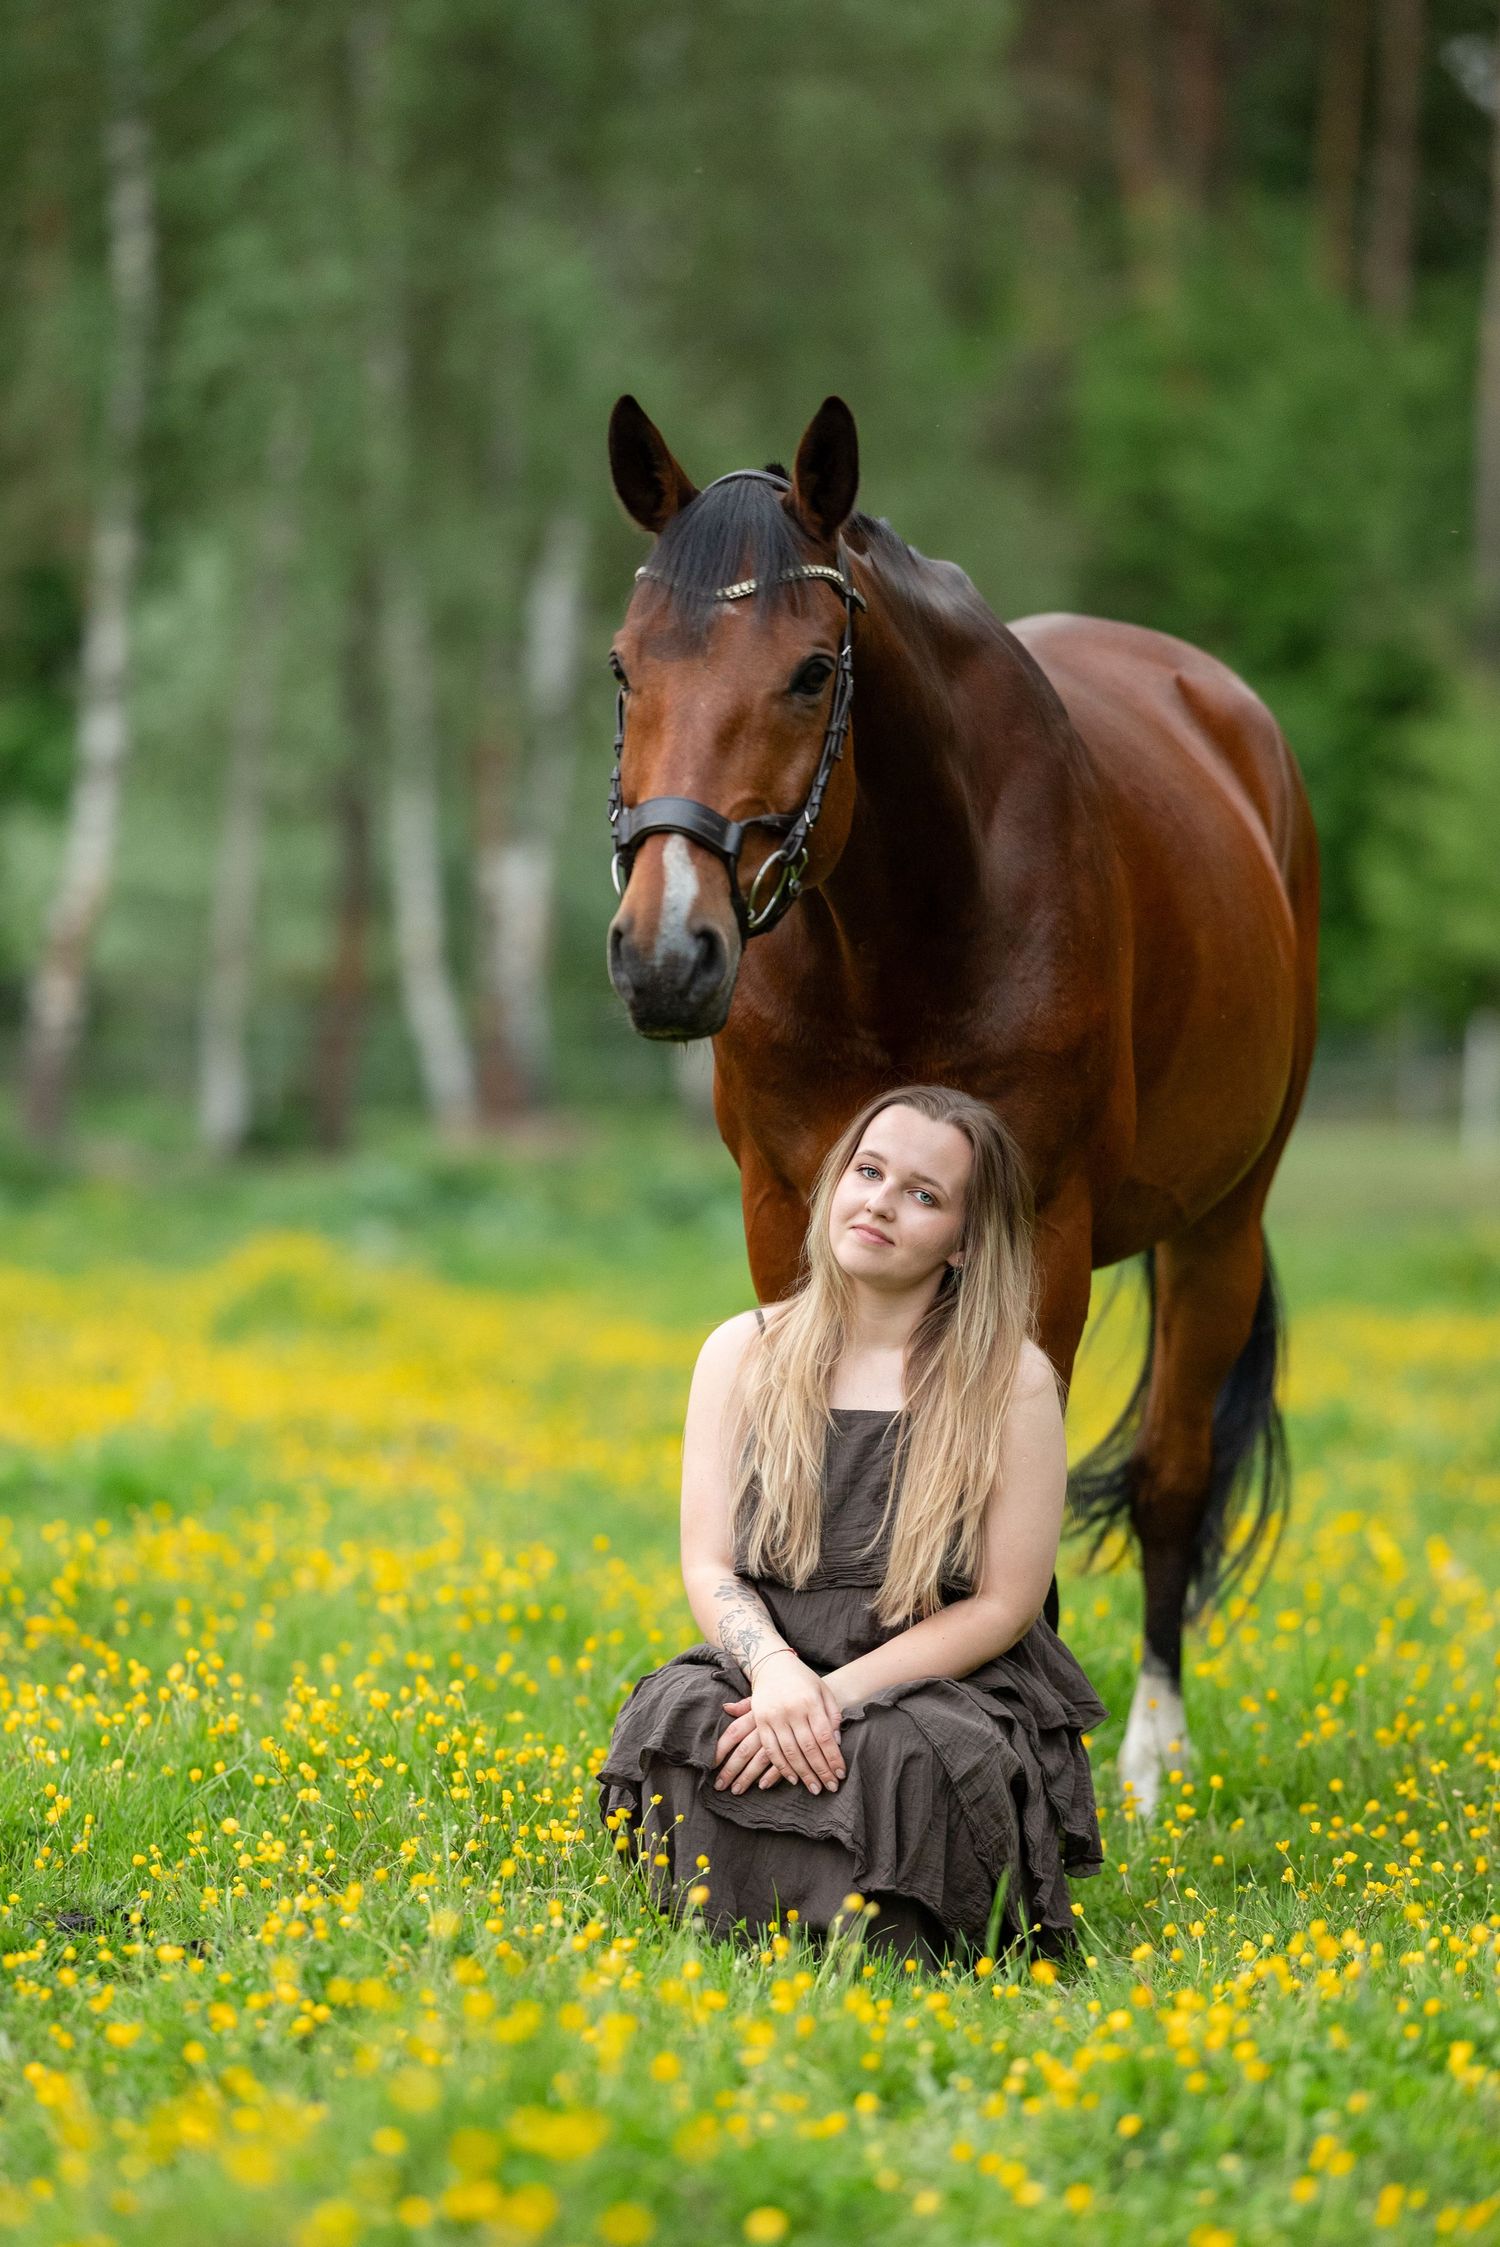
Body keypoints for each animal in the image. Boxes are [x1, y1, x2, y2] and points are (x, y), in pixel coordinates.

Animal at [603, 393, 1320, 1816]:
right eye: (622, 669)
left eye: (811, 672)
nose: (666, 955)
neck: (909, 927)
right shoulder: (785, 1214)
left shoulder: (1041, 1233)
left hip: (1222, 1224)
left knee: (1171, 1480)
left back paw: (1154, 1757)